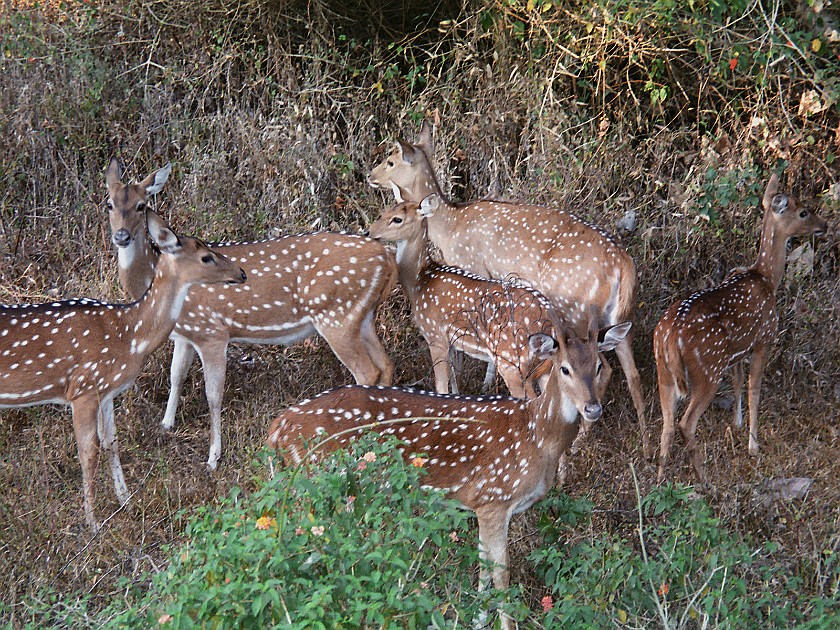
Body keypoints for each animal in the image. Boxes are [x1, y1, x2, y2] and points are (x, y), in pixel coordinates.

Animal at [0, 214, 244, 532]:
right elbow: (88, 453)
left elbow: (111, 443)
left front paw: (126, 499)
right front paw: (92, 523)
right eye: (206, 257)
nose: (241, 273)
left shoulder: (106, 391)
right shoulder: (83, 388)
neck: (129, 335)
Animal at [106, 160, 400, 472]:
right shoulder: (185, 335)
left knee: (367, 371)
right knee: (385, 364)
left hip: (336, 315)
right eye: (109, 203)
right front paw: (166, 425)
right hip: (362, 315)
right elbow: (176, 375)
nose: (121, 236)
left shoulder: (211, 331)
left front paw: (213, 457)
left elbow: (213, 394)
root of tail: (387, 256)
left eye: (141, 205)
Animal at [270, 316, 632, 628]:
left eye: (599, 365)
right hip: (316, 481)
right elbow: (501, 574)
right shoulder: (493, 497)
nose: (592, 408)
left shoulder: (483, 505)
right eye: (564, 368)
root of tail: (278, 428)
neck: (536, 437)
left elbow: (483, 568)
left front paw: (477, 620)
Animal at [366, 123, 648, 460]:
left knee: (601, 366)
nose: (369, 174)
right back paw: (648, 443)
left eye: (390, 160)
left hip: (576, 310)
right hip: (618, 315)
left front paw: (483, 383)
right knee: (632, 372)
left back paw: (580, 440)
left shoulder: (472, 267)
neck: (448, 227)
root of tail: (624, 264)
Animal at [656, 173, 828, 484]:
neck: (767, 278)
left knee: (667, 425)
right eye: (803, 212)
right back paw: (703, 478)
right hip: (707, 371)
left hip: (663, 371)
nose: (825, 225)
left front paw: (736, 425)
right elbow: (754, 389)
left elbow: (737, 381)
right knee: (686, 423)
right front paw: (753, 445)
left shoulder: (737, 351)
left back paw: (661, 479)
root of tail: (670, 336)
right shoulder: (763, 338)